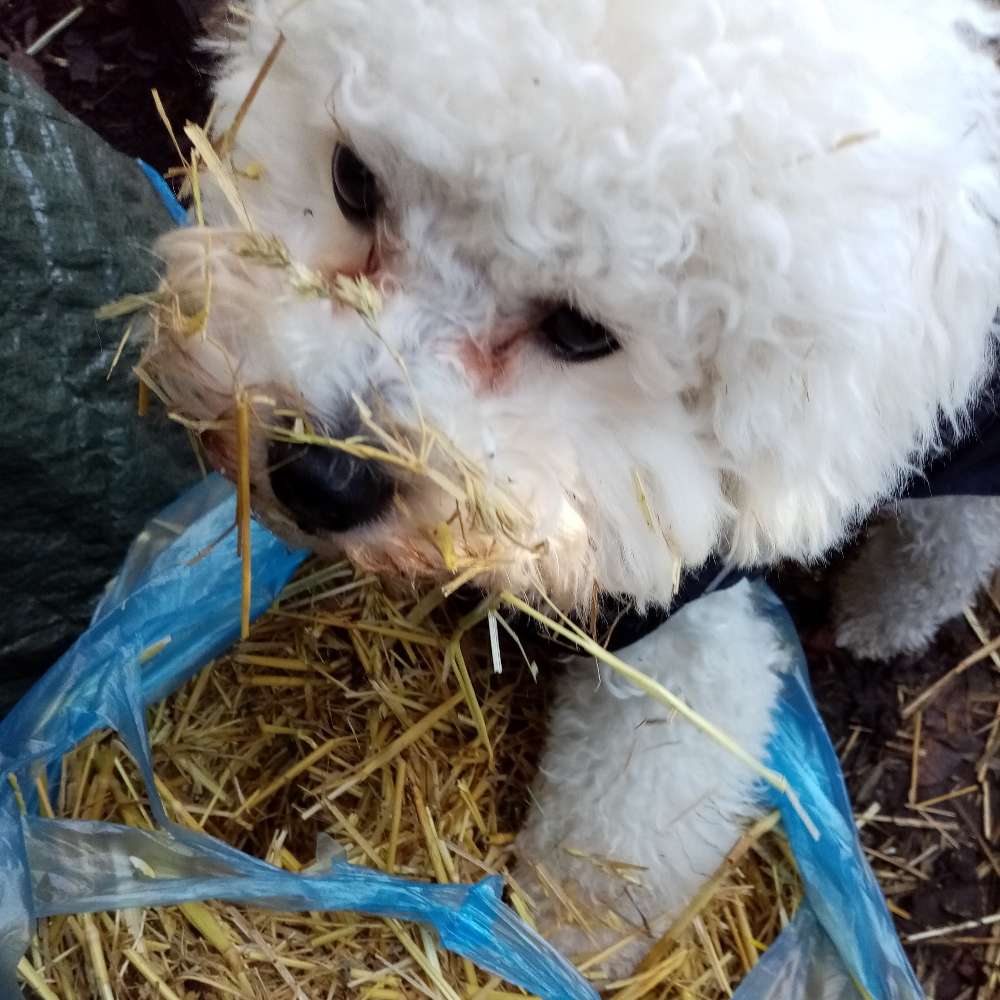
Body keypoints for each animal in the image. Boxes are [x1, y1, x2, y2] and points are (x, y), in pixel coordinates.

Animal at [141, 0, 1000, 972]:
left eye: (583, 335)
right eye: (352, 180)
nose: (322, 479)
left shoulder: (689, 638)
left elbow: (624, 824)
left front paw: (563, 949)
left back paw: (889, 614)